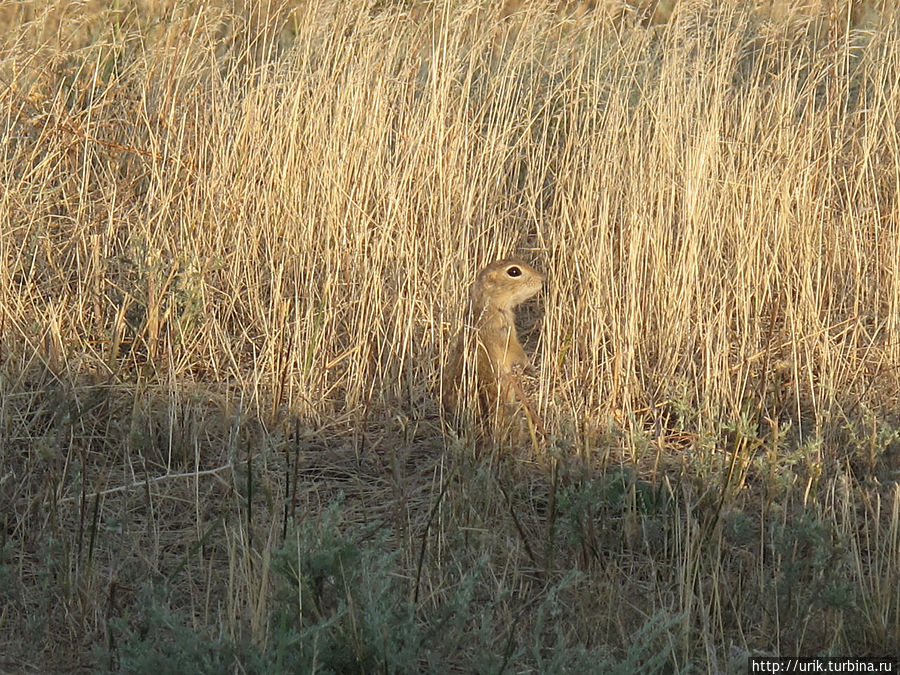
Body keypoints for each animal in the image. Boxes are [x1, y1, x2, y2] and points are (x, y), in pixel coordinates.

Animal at [442, 258, 540, 434]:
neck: (489, 306)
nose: (542, 279)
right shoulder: (506, 335)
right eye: (514, 271)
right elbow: (518, 353)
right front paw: (531, 368)